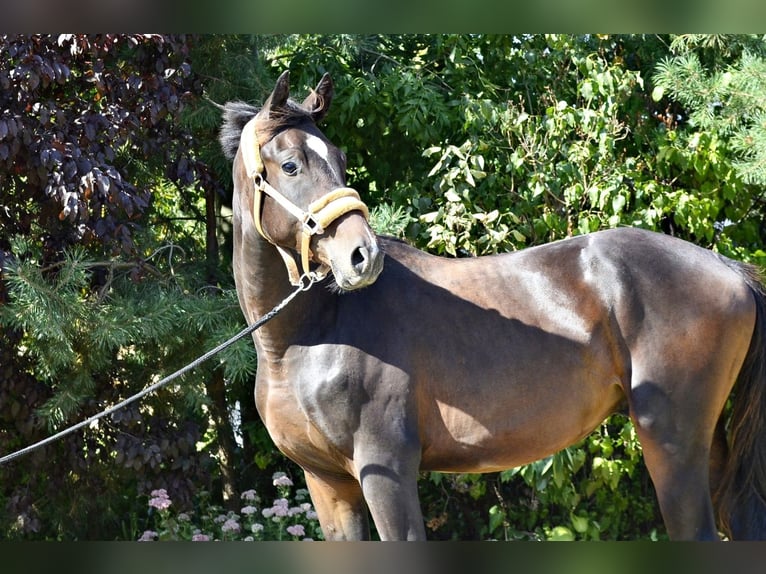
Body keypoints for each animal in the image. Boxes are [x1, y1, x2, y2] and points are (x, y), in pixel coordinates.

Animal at [219, 70, 766, 544]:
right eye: (291, 165)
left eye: (339, 158)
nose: (362, 255)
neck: (305, 337)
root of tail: (729, 268)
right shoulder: (328, 483)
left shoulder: (386, 470)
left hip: (671, 444)